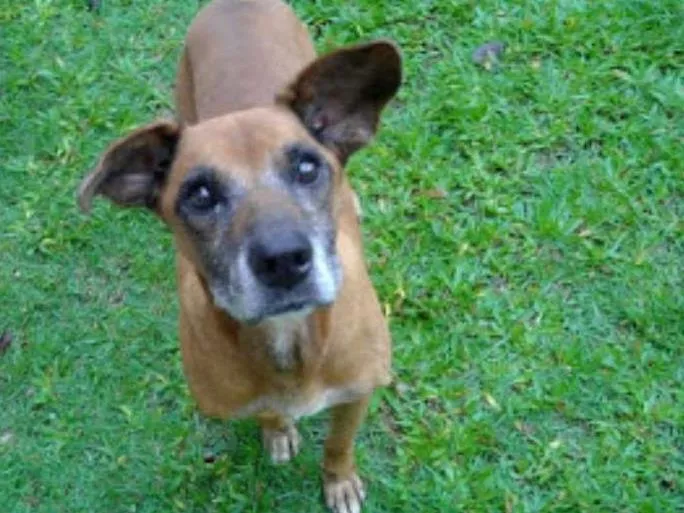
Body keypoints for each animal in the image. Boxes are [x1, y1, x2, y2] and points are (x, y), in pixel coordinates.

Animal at [79, 1, 400, 512]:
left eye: (307, 167)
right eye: (200, 195)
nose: (284, 260)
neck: (288, 340)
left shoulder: (358, 390)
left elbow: (339, 443)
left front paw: (339, 481)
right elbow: (266, 411)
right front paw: (278, 431)